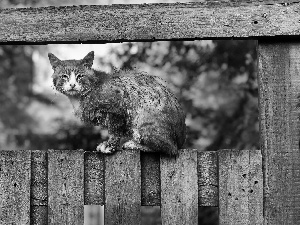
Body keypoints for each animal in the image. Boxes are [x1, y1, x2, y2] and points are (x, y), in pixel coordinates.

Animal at [47, 51, 185, 156]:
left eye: (80, 76)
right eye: (64, 76)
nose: (72, 85)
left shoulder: (118, 107)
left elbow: (114, 130)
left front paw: (109, 145)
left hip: (143, 119)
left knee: (170, 148)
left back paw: (134, 144)